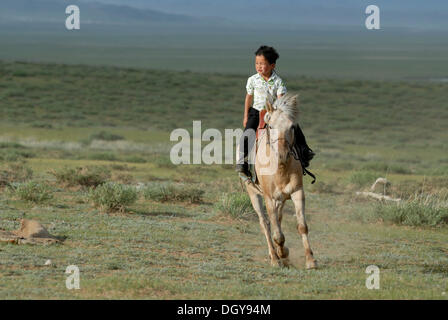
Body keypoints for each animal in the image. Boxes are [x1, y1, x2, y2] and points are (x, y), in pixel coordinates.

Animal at [242, 94, 318, 268]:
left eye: (292, 127)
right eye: (271, 127)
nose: (282, 154)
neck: (281, 169)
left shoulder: (297, 193)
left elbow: (302, 226)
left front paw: (310, 260)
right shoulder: (269, 198)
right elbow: (276, 233)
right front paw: (280, 255)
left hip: (281, 199)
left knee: (278, 218)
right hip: (254, 194)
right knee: (265, 223)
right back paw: (274, 256)